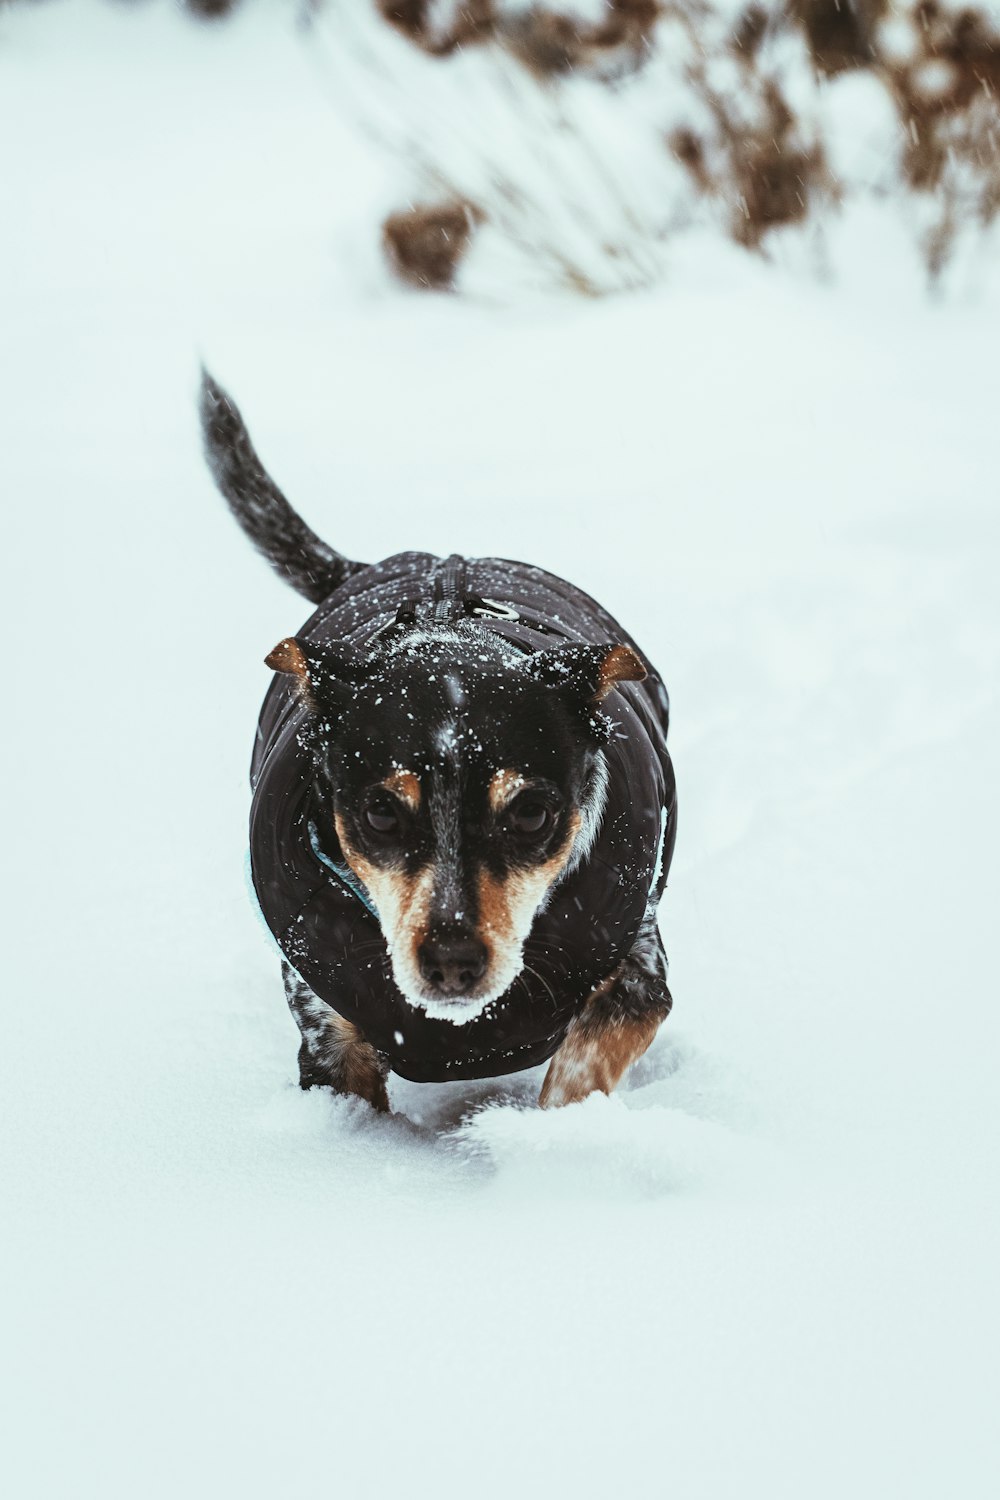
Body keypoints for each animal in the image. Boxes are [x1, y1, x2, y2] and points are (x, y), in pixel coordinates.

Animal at [199, 369, 677, 1110]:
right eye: (379, 812)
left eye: (531, 813)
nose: (453, 960)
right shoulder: (328, 1030)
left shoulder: (638, 971)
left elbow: (581, 1066)